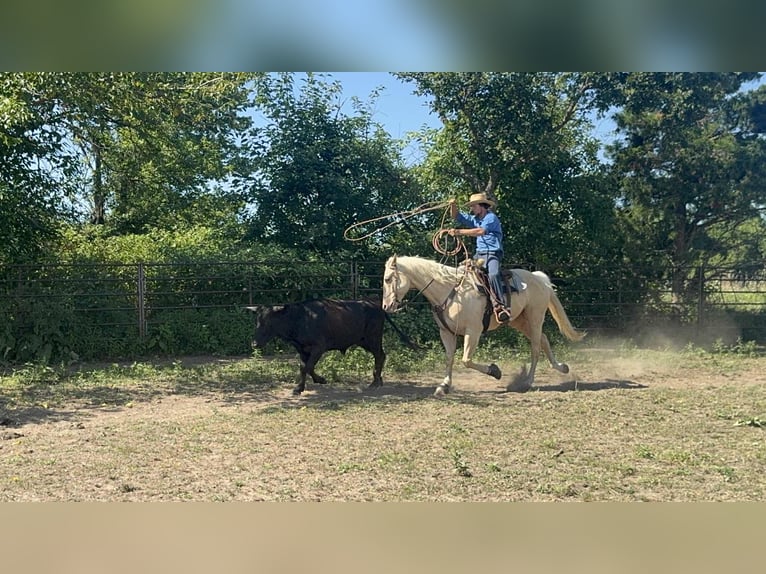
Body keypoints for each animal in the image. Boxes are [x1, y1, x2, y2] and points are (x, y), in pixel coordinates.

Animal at [381, 255, 585, 397]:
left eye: (388, 279)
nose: (386, 307)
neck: (450, 291)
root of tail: (539, 278)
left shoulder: (473, 331)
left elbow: (466, 360)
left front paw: (495, 371)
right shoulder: (446, 333)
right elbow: (449, 359)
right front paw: (444, 386)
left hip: (535, 317)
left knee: (535, 347)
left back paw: (527, 381)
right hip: (519, 321)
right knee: (543, 339)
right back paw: (561, 367)